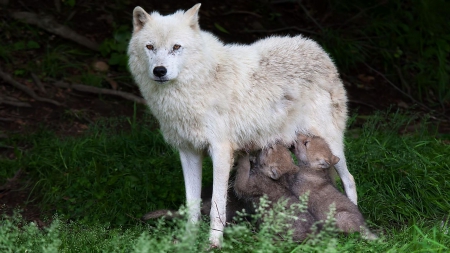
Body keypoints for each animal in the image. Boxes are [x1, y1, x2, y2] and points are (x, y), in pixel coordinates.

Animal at [126, 2, 356, 246]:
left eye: (176, 47)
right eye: (150, 47)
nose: (159, 71)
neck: (199, 83)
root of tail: (317, 49)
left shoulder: (220, 152)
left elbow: (217, 205)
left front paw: (214, 243)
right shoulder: (188, 152)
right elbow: (192, 206)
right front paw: (188, 240)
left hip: (331, 145)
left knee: (349, 179)